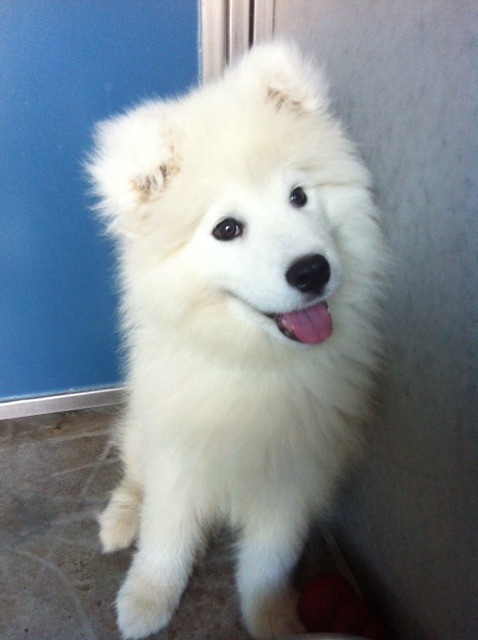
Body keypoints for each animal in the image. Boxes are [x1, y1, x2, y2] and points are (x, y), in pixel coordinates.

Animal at [87, 42, 386, 639]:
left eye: (298, 196)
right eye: (227, 229)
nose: (313, 270)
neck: (254, 362)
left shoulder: (293, 476)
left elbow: (269, 559)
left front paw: (275, 618)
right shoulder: (178, 462)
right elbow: (165, 538)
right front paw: (146, 601)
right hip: (144, 434)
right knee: (134, 475)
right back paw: (120, 520)